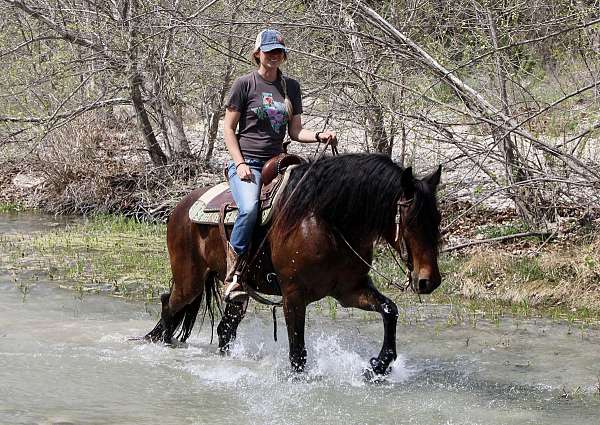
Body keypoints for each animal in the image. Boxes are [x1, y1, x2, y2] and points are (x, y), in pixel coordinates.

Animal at [146, 152, 440, 374]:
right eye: (411, 221)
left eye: (435, 219)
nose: (429, 281)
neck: (326, 222)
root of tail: (180, 207)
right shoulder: (293, 297)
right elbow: (297, 354)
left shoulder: (349, 291)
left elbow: (390, 310)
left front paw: (378, 366)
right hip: (190, 281)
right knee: (168, 305)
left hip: (237, 294)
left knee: (223, 330)